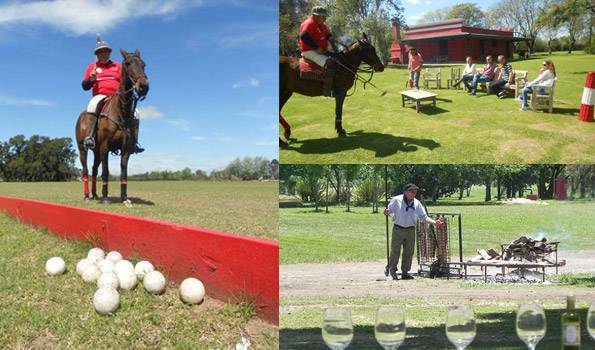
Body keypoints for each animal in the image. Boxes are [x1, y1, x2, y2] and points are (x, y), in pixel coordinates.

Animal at [75, 47, 149, 204]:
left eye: (143, 64)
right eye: (127, 63)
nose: (144, 86)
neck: (121, 111)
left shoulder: (126, 148)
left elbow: (123, 171)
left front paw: (124, 198)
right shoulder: (105, 146)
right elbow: (106, 171)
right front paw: (105, 198)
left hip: (96, 151)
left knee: (94, 169)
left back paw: (94, 194)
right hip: (82, 148)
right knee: (85, 170)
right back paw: (87, 196)